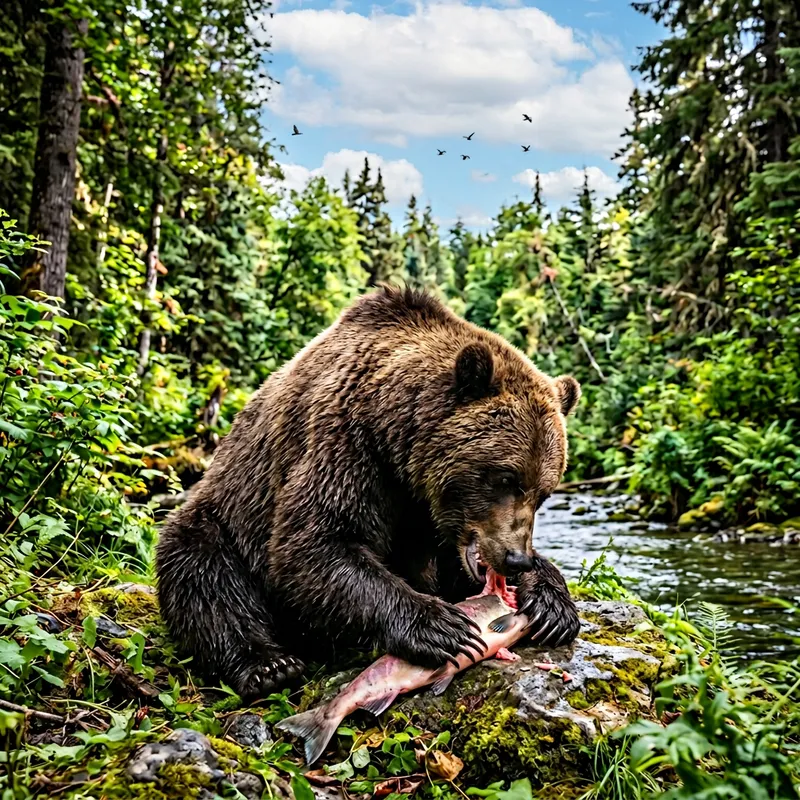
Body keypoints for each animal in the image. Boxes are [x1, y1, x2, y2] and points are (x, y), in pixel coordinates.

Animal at [156, 286, 582, 698]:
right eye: (505, 478)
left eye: (543, 492)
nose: (515, 559)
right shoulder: (346, 445)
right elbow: (314, 543)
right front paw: (441, 625)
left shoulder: (427, 516)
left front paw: (552, 605)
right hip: (225, 514)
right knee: (202, 571)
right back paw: (270, 667)